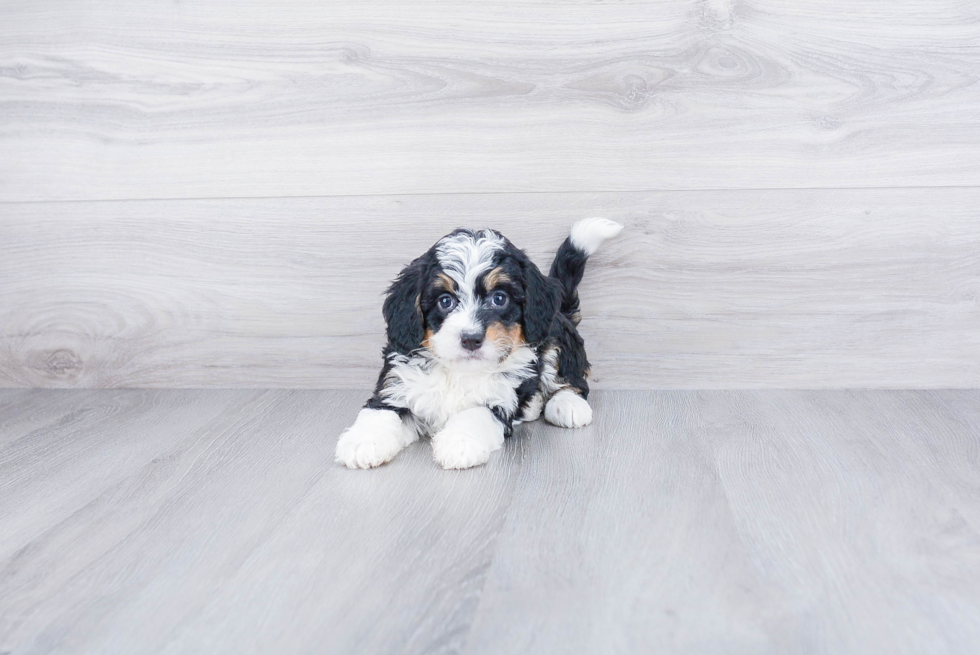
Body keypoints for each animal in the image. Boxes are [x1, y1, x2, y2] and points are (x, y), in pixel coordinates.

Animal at [336, 218, 624, 468]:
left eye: (499, 298)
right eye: (445, 301)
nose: (471, 339)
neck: (459, 370)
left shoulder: (499, 398)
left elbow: (475, 415)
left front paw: (458, 442)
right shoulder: (397, 384)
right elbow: (380, 411)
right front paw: (363, 442)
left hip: (554, 337)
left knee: (571, 380)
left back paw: (567, 405)